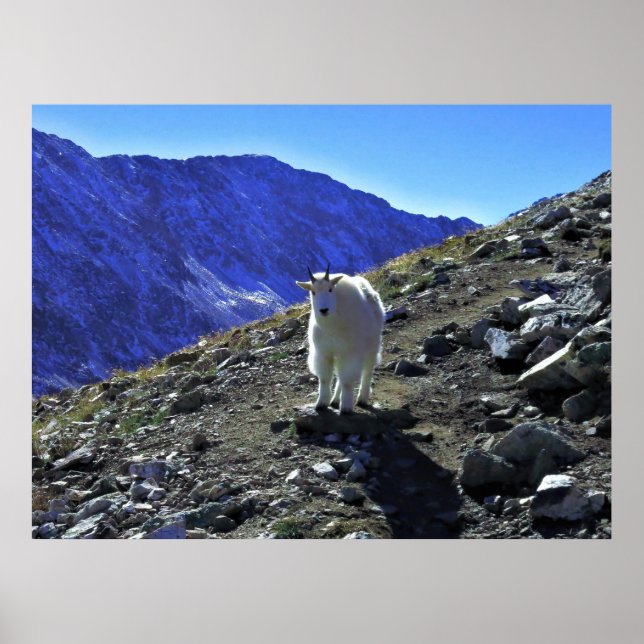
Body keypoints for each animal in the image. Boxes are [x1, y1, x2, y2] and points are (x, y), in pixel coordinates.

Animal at [296, 263, 385, 413]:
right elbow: (325, 379)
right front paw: (321, 403)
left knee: (367, 371)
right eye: (313, 292)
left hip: (372, 345)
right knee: (339, 376)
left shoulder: (350, 353)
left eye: (330, 289)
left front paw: (346, 407)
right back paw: (335, 400)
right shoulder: (324, 353)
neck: (331, 327)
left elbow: (347, 381)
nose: (324, 310)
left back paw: (362, 398)